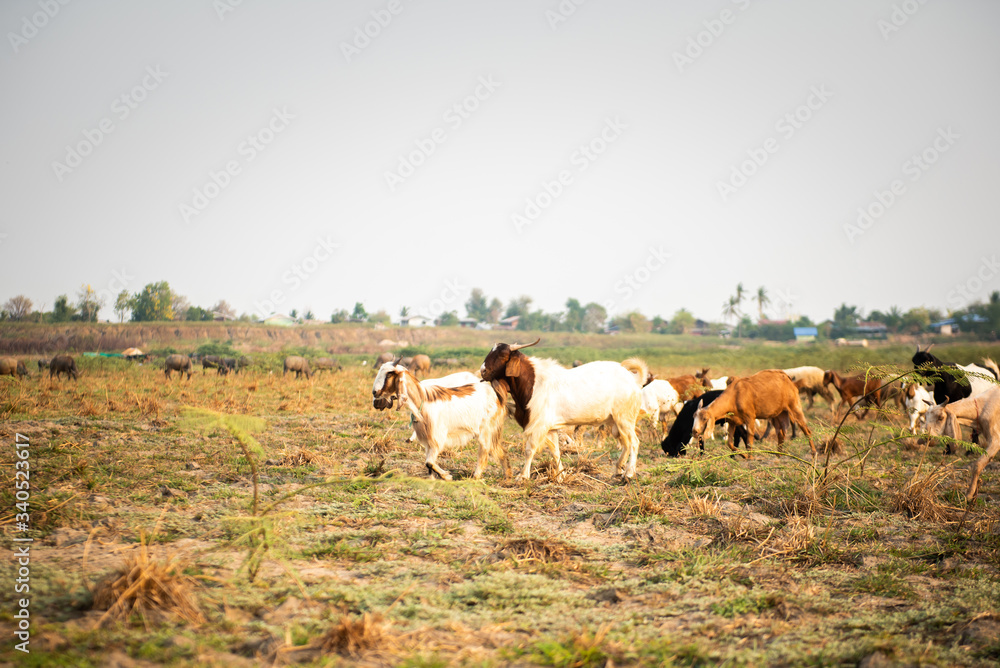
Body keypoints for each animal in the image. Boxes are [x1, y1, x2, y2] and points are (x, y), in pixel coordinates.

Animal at [371, 362, 507, 480]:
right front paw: (433, 478)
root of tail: (495, 394)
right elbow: (428, 463)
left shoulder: (437, 438)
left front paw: (447, 476)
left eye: (389, 374)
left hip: (486, 429)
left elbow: (429, 462)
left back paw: (476, 476)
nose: (375, 394)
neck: (423, 399)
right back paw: (508, 474)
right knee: (499, 450)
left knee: (485, 451)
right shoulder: (427, 440)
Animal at [479, 339, 645, 481]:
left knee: (634, 442)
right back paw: (618, 469)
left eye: (502, 355)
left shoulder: (538, 425)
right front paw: (560, 475)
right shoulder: (550, 428)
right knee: (625, 442)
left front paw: (523, 476)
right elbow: (555, 451)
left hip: (624, 418)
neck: (533, 382)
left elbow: (529, 449)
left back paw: (629, 473)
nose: (482, 371)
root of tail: (632, 379)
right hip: (615, 421)